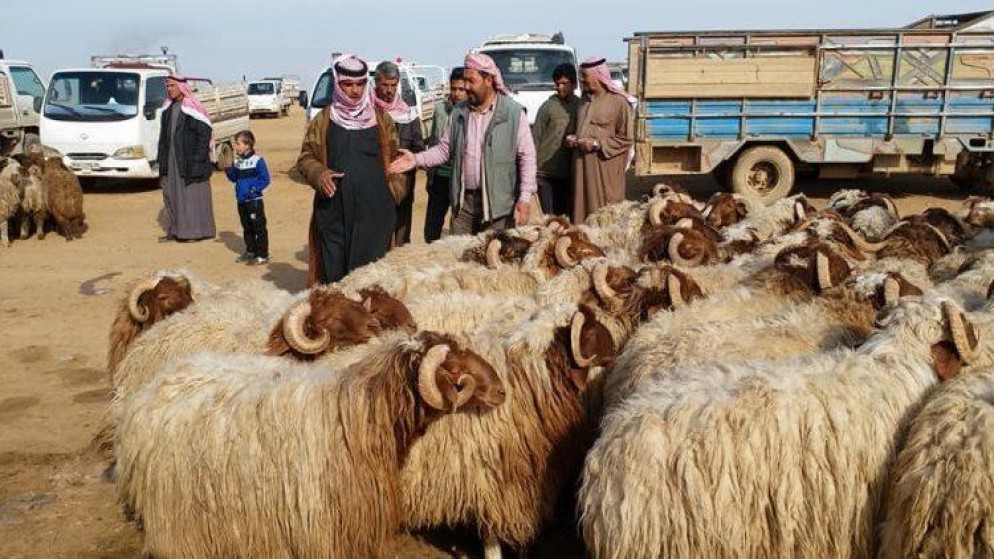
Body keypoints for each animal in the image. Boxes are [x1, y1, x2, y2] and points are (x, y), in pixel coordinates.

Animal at [113, 330, 508, 556]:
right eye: (455, 373)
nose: (502, 391)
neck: (358, 413)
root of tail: (155, 385)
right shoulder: (323, 527)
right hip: (178, 518)